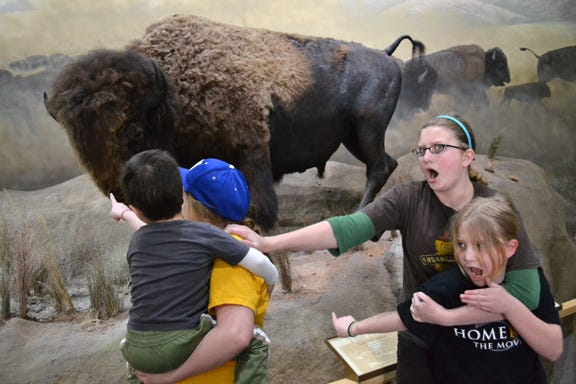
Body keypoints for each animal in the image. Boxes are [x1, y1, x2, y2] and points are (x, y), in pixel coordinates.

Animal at [45, 15, 424, 230]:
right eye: (75, 140)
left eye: (134, 130)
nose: (117, 191)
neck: (170, 90)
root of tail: (385, 55)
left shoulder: (251, 149)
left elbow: (258, 197)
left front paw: (259, 226)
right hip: (352, 137)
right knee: (386, 164)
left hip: (366, 128)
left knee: (378, 167)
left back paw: (358, 213)